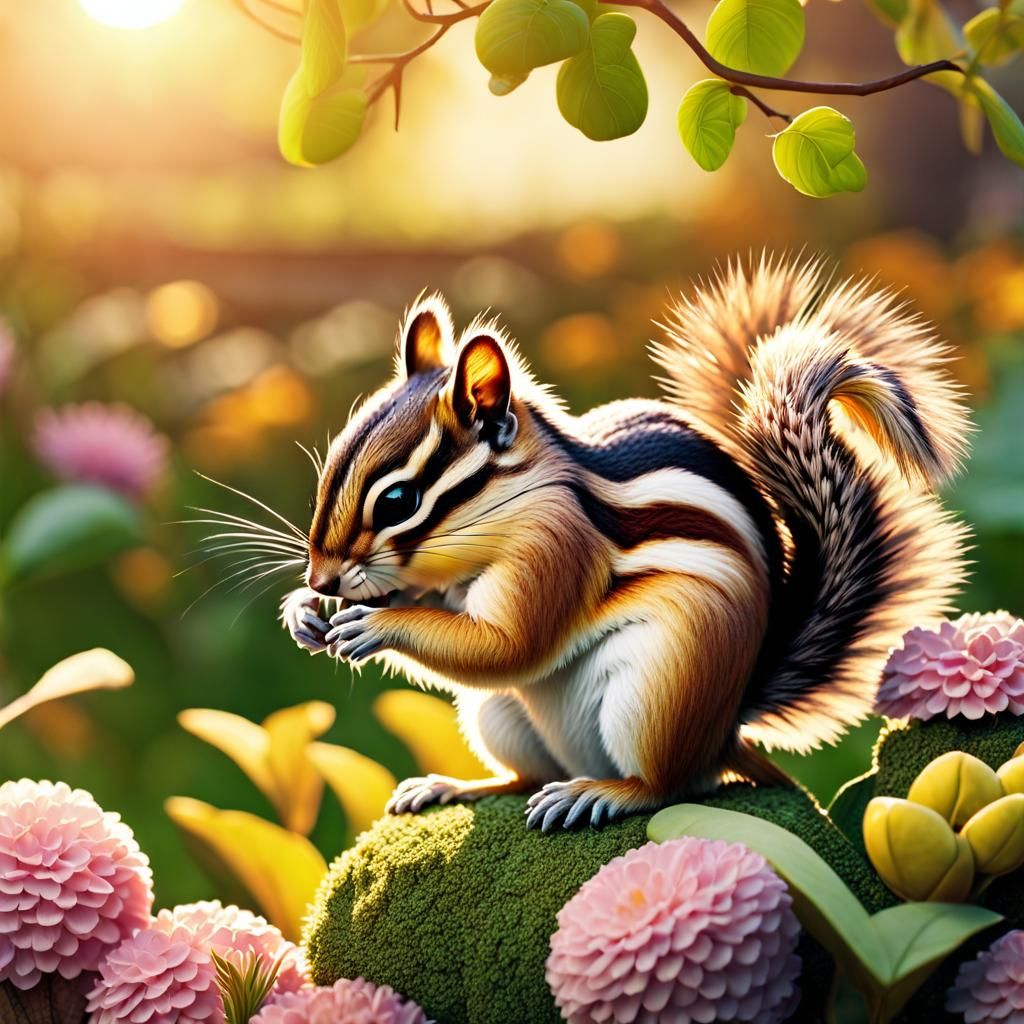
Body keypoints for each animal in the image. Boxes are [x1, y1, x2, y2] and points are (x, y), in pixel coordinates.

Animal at [281, 255, 971, 831]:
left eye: (397, 501)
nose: (321, 580)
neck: (515, 502)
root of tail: (726, 727)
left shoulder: (558, 547)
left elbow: (510, 645)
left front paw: (375, 625)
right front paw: (304, 615)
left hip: (659, 691)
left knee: (670, 785)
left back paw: (602, 794)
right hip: (497, 716)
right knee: (526, 776)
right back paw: (453, 787)